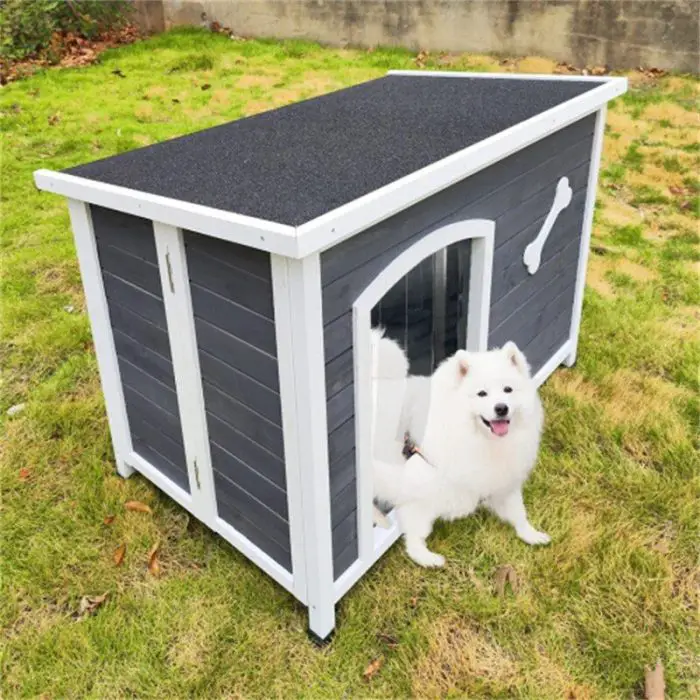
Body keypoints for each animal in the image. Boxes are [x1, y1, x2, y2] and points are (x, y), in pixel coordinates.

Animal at [372, 330, 552, 568]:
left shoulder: (502, 481)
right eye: (482, 394)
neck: (479, 439)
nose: (501, 408)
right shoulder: (419, 488)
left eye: (508, 390)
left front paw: (530, 534)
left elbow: (518, 512)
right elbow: (416, 532)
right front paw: (425, 558)